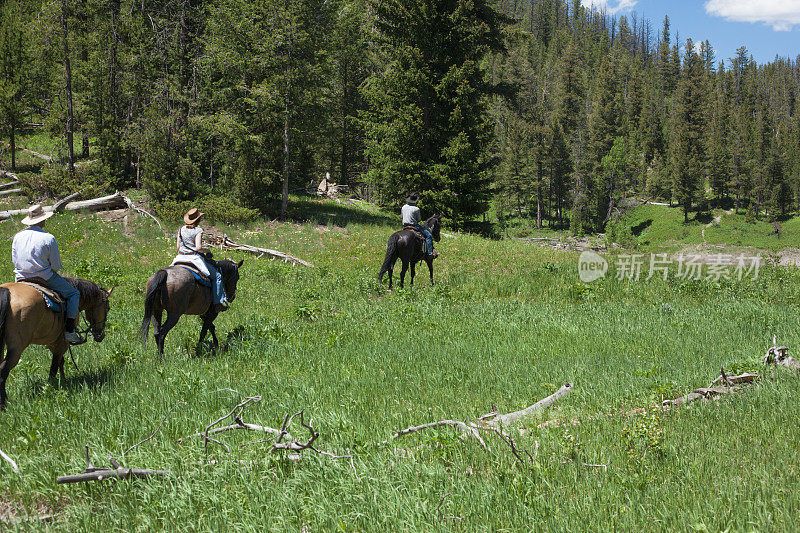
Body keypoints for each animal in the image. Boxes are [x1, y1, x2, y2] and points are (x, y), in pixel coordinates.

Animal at [0, 276, 113, 410]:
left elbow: (60, 362)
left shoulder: (53, 342)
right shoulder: (62, 342)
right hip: (17, 347)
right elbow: (54, 367)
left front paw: (63, 380)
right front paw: (52, 387)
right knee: (3, 369)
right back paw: (3, 404)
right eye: (108, 308)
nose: (100, 335)